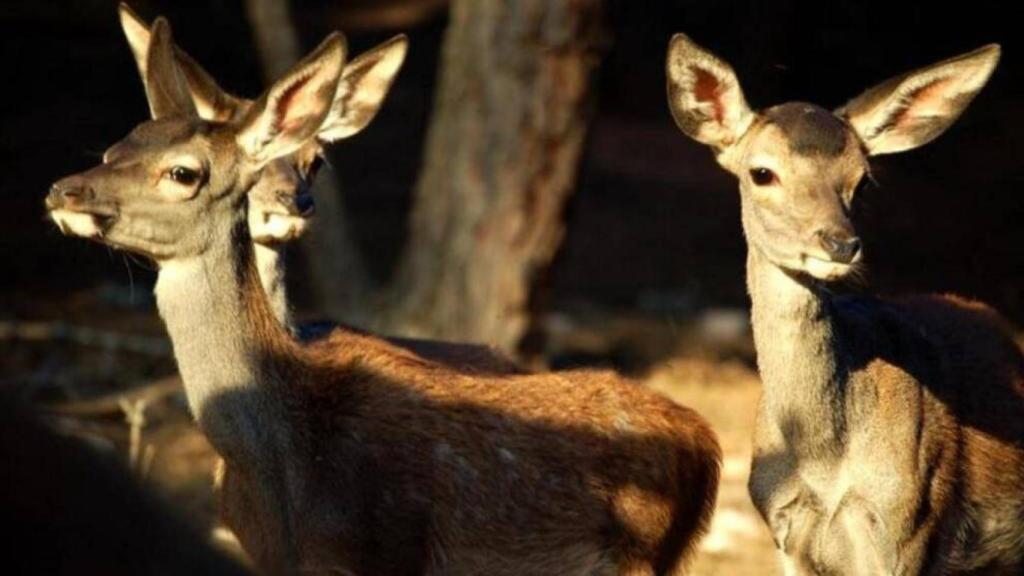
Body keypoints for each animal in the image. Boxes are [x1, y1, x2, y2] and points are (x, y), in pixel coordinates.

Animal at [667, 34, 1024, 573]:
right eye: (762, 173)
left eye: (863, 179)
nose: (840, 244)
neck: (824, 464)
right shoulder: (785, 532)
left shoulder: (909, 525)